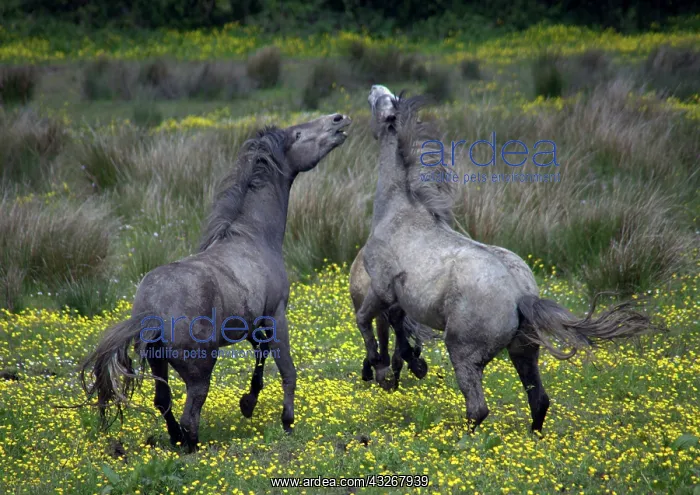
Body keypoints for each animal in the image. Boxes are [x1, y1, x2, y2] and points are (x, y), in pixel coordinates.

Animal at [79, 113, 352, 452]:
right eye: (299, 134)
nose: (338, 119)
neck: (254, 237)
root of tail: (151, 310)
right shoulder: (276, 315)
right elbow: (287, 369)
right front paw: (287, 421)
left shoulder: (251, 323)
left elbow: (261, 354)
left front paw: (248, 403)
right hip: (200, 369)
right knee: (190, 412)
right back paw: (192, 446)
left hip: (158, 363)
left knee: (163, 402)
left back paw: (177, 440)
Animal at [356, 85, 657, 433]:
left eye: (381, 102)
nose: (373, 89)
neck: (399, 212)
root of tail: (520, 295)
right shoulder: (398, 297)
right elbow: (397, 323)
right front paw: (409, 362)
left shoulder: (381, 286)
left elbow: (365, 320)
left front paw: (379, 367)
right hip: (524, 351)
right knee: (539, 399)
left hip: (464, 352)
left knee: (478, 408)